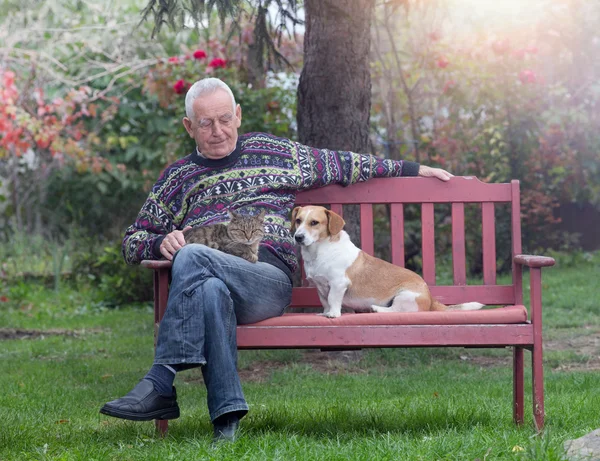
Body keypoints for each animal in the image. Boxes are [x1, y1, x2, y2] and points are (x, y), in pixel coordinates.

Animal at [290, 207, 482, 318]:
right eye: (298, 220)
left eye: (314, 222)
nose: (298, 237)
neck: (320, 251)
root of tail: (431, 299)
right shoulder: (320, 286)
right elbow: (325, 301)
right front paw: (325, 313)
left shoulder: (338, 284)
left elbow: (333, 299)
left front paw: (333, 314)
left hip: (404, 296)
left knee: (397, 310)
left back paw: (376, 309)